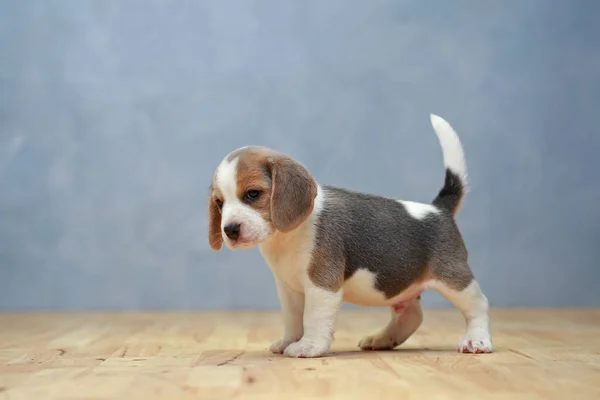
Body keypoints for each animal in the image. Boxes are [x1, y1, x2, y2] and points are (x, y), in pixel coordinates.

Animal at [207, 114, 492, 358]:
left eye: (253, 194)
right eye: (220, 203)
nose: (229, 230)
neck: (285, 236)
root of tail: (439, 209)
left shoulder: (322, 285)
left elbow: (313, 317)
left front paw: (309, 346)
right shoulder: (288, 289)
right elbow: (293, 318)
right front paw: (289, 340)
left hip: (453, 278)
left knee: (477, 305)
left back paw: (476, 340)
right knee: (411, 315)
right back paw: (382, 339)